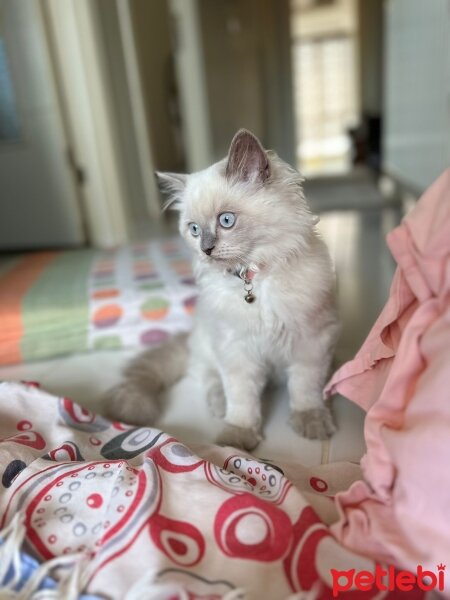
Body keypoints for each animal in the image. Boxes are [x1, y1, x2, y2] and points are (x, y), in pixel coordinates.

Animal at [103, 131, 340, 450]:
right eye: (193, 229)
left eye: (226, 220)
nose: (206, 249)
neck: (253, 278)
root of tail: (190, 336)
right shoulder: (236, 349)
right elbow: (242, 402)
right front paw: (236, 440)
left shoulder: (310, 341)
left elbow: (305, 390)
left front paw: (311, 423)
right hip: (210, 345)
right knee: (209, 378)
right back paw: (219, 406)